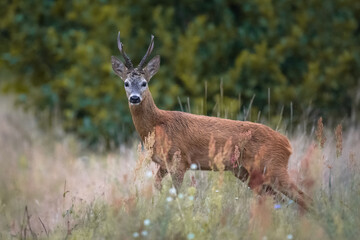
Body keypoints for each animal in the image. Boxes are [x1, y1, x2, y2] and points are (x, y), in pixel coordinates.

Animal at [111, 32, 310, 210]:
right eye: (126, 83)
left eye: (144, 83)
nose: (134, 98)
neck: (157, 124)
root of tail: (287, 144)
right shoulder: (163, 164)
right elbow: (157, 188)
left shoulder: (179, 160)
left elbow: (175, 194)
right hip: (247, 172)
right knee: (277, 198)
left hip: (273, 166)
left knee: (302, 197)